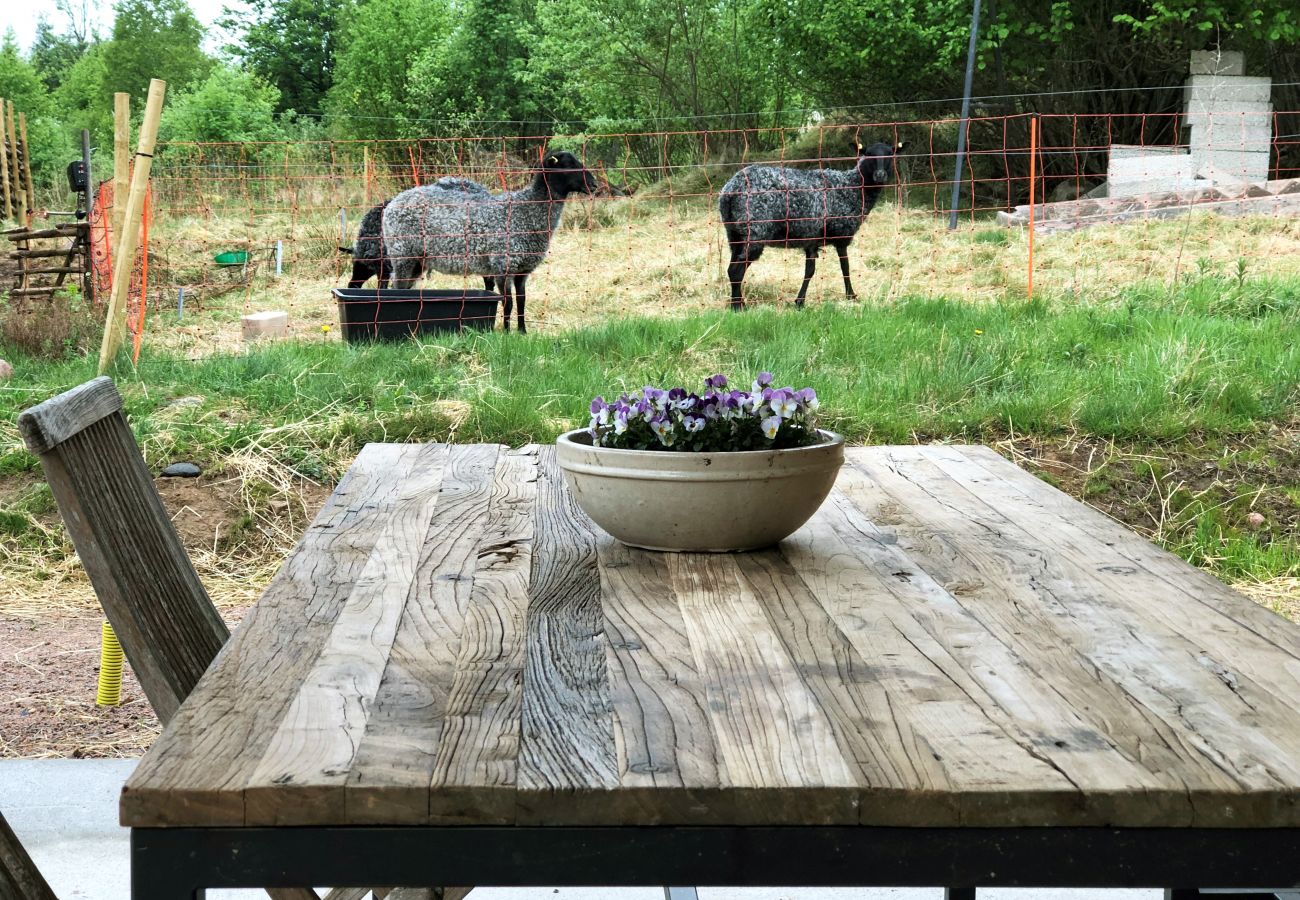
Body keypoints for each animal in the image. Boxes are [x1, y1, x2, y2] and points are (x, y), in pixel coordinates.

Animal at [379, 150, 595, 332]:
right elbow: (507, 302)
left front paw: (522, 332)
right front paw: (507, 333)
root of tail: (394, 202)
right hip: (402, 253)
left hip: (418, 260)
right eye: (568, 165)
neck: (526, 210)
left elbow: (522, 301)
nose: (594, 185)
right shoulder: (503, 265)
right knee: (398, 288)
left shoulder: (522, 269)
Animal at [717, 139, 899, 309]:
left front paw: (800, 302)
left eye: (890, 154)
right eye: (868, 154)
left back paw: (738, 302)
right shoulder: (841, 233)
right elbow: (845, 267)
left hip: (735, 233)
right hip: (755, 230)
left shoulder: (812, 239)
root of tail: (731, 190)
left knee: (731, 269)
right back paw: (738, 307)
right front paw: (851, 295)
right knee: (737, 271)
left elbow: (809, 271)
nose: (880, 175)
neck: (853, 188)